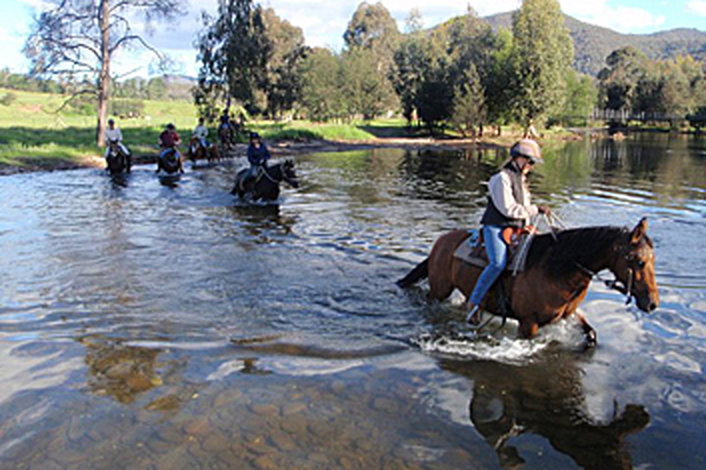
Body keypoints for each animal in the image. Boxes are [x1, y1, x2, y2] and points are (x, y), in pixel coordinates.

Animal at [398, 218, 656, 346]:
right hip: (439, 290)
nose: (652, 303)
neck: (557, 268)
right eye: (640, 261)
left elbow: (591, 334)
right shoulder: (528, 323)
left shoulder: (569, 314)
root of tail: (442, 241)